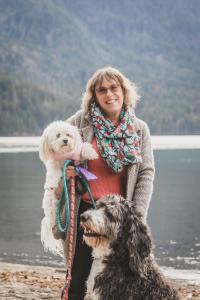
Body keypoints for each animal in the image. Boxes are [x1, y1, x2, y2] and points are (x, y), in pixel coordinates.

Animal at [38, 120, 97, 256]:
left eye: (68, 135)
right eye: (58, 135)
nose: (65, 140)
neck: (65, 156)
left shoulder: (75, 159)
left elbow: (82, 149)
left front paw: (90, 153)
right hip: (52, 207)